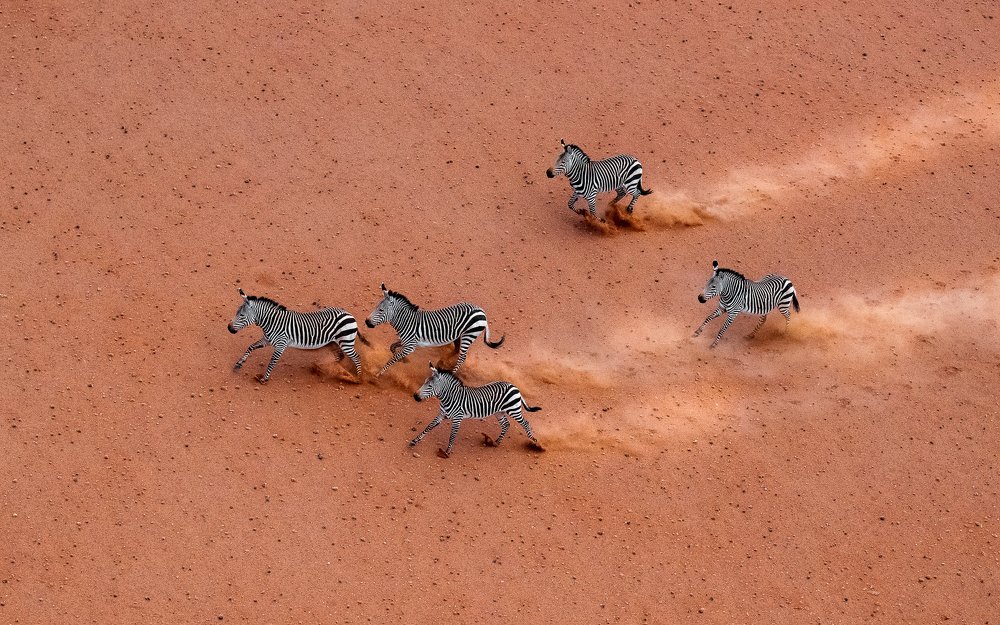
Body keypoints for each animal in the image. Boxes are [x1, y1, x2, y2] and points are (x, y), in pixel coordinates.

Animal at [228, 288, 364, 383]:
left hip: (346, 342)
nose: (229, 328)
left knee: (356, 357)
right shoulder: (267, 340)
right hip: (333, 342)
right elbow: (251, 347)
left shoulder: (281, 345)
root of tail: (349, 314)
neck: (272, 322)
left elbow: (272, 362)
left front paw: (264, 379)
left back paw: (357, 379)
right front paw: (239, 364)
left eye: (241, 315)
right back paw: (322, 368)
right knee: (339, 356)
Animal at [364, 284, 504, 376]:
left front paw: (379, 373)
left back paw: (451, 373)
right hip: (459, 335)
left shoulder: (410, 346)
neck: (406, 321)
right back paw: (442, 363)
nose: (366, 322)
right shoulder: (407, 342)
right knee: (457, 350)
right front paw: (404, 360)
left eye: (381, 310)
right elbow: (392, 348)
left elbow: (393, 358)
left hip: (469, 335)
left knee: (462, 357)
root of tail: (482, 311)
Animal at [411, 363, 541, 458]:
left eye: (430, 386)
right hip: (499, 412)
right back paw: (495, 442)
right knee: (506, 424)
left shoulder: (457, 418)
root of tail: (514, 386)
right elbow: (428, 427)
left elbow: (452, 435)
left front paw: (446, 452)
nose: (415, 397)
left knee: (525, 423)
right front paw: (414, 441)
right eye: (424, 382)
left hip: (514, 410)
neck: (450, 398)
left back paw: (535, 443)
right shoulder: (441, 414)